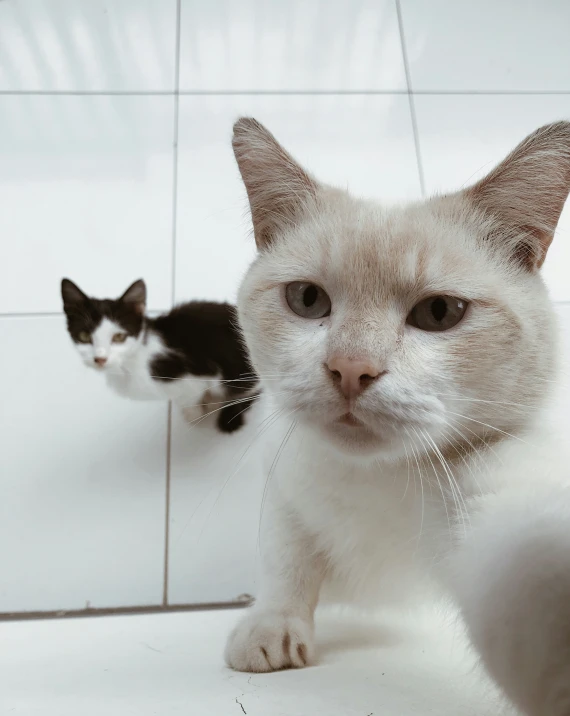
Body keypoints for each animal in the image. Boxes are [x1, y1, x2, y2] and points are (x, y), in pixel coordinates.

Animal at [61, 278, 256, 434]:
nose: (100, 359)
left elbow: (190, 397)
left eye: (119, 336)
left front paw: (194, 414)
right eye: (84, 336)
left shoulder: (197, 373)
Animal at [224, 117, 568, 716]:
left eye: (439, 312)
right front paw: (272, 622)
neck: (373, 479)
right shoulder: (283, 477)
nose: (350, 368)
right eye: (307, 300)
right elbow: (286, 555)